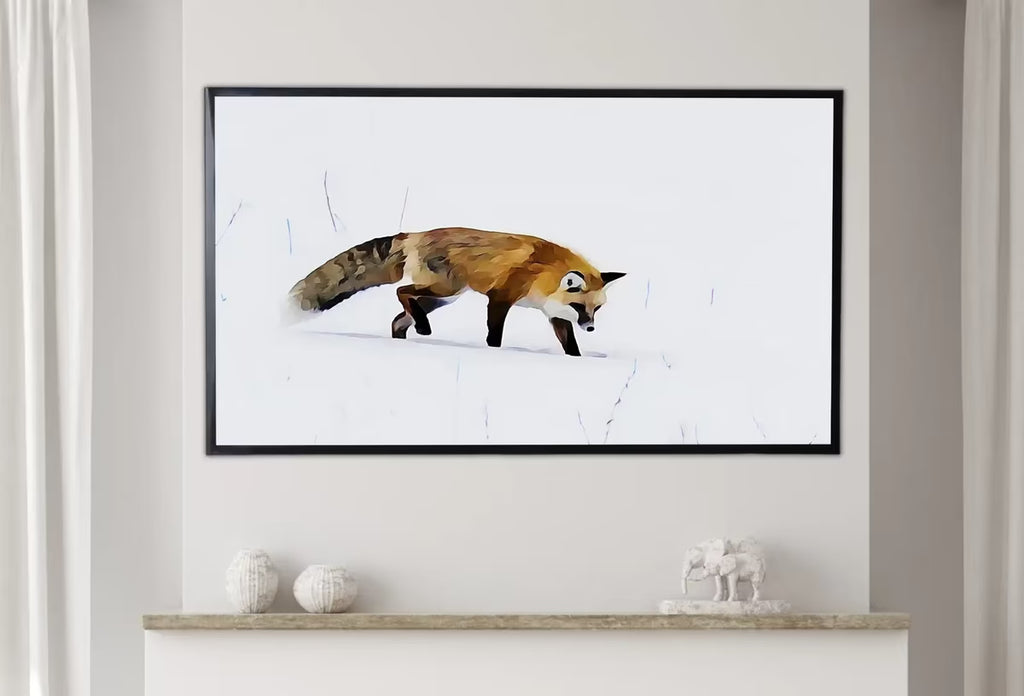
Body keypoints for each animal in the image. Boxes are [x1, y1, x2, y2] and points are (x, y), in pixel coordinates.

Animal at [288, 227, 626, 356]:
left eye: (596, 309)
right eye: (581, 308)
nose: (591, 327)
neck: (543, 274)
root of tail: (417, 233)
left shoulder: (554, 314)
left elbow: (570, 345)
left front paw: (577, 361)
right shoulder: (500, 297)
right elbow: (494, 335)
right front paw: (493, 354)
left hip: (443, 297)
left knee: (399, 317)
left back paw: (407, 338)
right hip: (444, 288)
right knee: (402, 291)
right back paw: (422, 329)